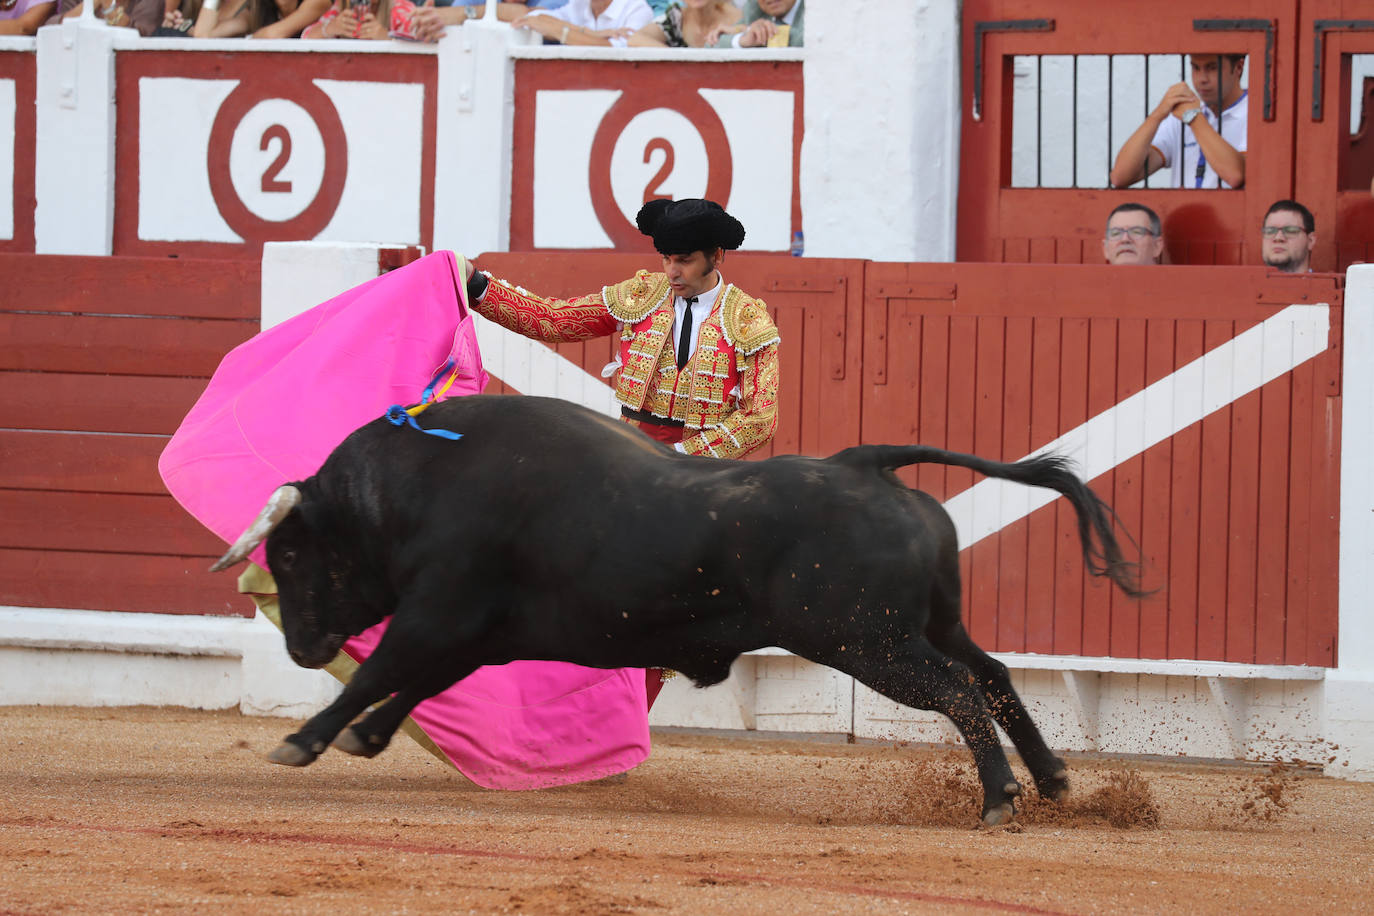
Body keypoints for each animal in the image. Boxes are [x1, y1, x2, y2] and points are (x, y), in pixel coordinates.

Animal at [214, 395, 1143, 823]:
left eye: (288, 554)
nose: (301, 648)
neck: (408, 490)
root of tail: (864, 464)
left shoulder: (439, 611)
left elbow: (379, 670)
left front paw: (304, 740)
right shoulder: (478, 629)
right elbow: (415, 683)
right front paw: (364, 737)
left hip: (867, 643)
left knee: (956, 689)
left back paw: (999, 799)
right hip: (928, 623)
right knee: (992, 675)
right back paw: (1054, 780)